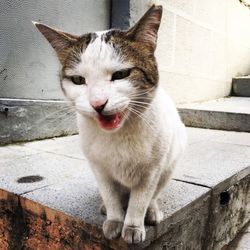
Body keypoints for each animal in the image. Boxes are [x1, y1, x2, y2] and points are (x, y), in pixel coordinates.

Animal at [33, 5, 187, 244]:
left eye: (121, 74)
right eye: (78, 80)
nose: (98, 103)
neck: (118, 135)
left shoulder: (151, 171)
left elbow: (140, 200)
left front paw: (132, 226)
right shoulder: (99, 168)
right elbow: (110, 194)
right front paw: (115, 219)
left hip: (170, 163)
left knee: (154, 193)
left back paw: (152, 210)